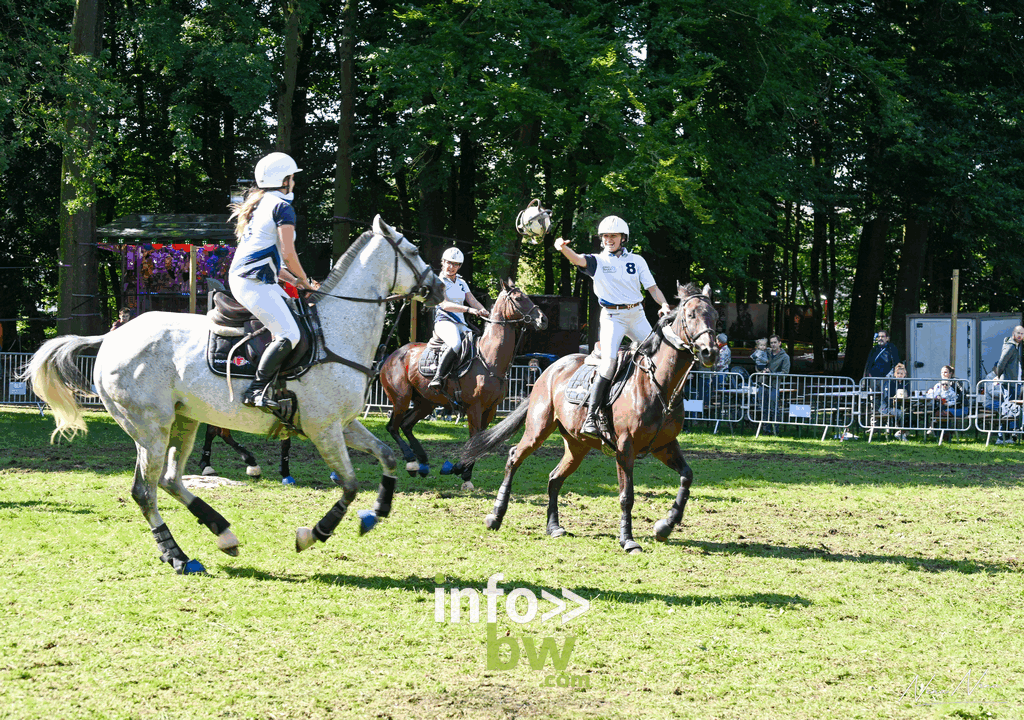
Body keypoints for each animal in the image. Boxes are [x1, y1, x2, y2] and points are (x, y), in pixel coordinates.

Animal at [380, 278, 548, 487]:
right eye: (518, 298)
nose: (543, 320)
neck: (489, 360)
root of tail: (389, 357)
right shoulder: (474, 407)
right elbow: (474, 438)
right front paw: (463, 472)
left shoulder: (490, 409)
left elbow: (480, 440)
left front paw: (461, 470)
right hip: (401, 399)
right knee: (393, 427)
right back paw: (412, 461)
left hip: (425, 403)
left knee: (406, 425)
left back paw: (422, 463)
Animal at [460, 284, 716, 553]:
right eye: (691, 315)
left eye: (715, 316)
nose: (710, 352)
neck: (659, 385)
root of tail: (549, 370)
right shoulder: (625, 448)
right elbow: (626, 496)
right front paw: (627, 540)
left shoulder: (664, 446)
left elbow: (687, 476)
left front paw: (665, 525)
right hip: (537, 430)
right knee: (513, 458)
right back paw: (495, 515)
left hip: (576, 446)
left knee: (554, 478)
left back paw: (554, 527)